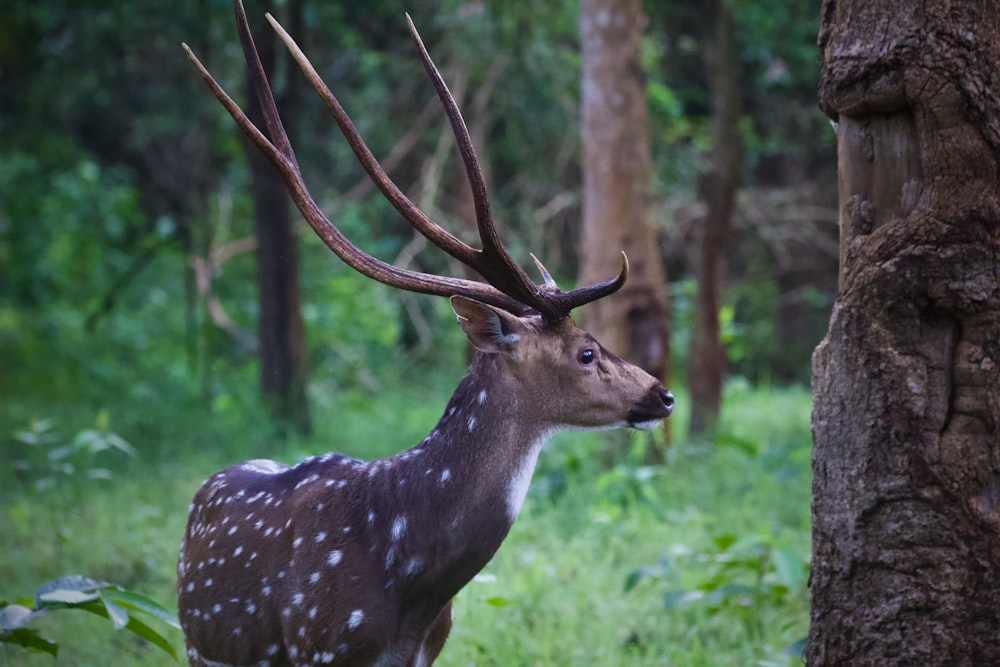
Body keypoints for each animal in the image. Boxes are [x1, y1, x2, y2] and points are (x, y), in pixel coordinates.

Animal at [176, 2, 676, 664]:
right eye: (587, 352)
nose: (662, 394)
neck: (410, 586)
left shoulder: (429, 651)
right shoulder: (319, 644)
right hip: (198, 643)